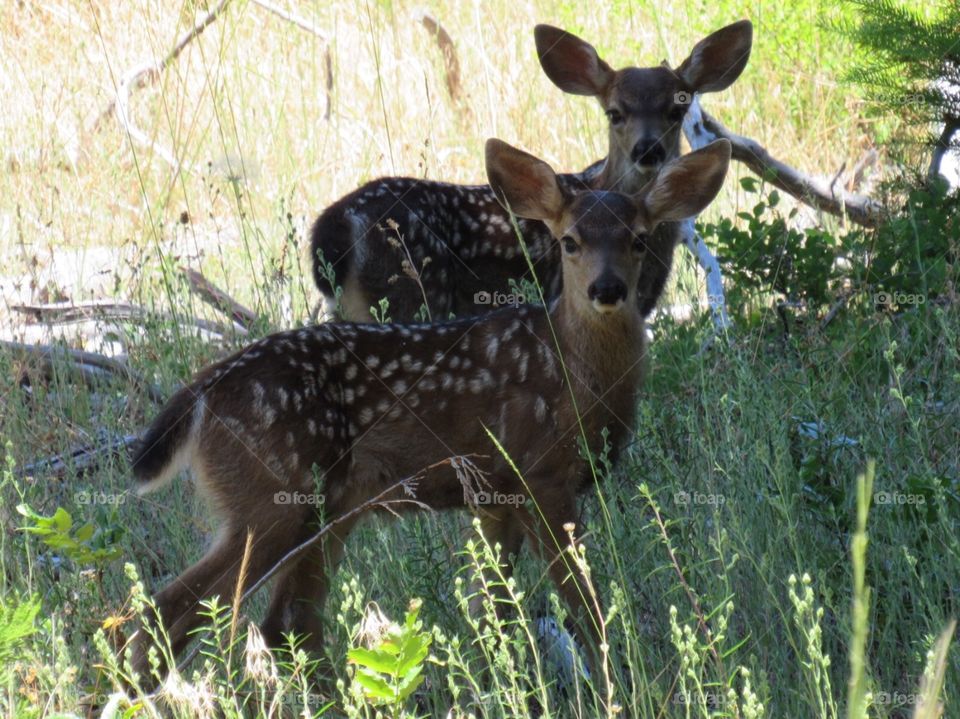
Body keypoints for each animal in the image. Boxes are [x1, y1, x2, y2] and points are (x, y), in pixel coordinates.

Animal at [130, 138, 731, 683]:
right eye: (570, 241)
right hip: (272, 498)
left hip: (326, 508)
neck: (575, 375)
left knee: (285, 624)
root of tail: (202, 392)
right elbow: (585, 609)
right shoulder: (539, 474)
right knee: (167, 611)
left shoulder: (493, 496)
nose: (607, 289)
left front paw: (502, 684)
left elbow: (495, 611)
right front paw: (612, 685)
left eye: (637, 240)